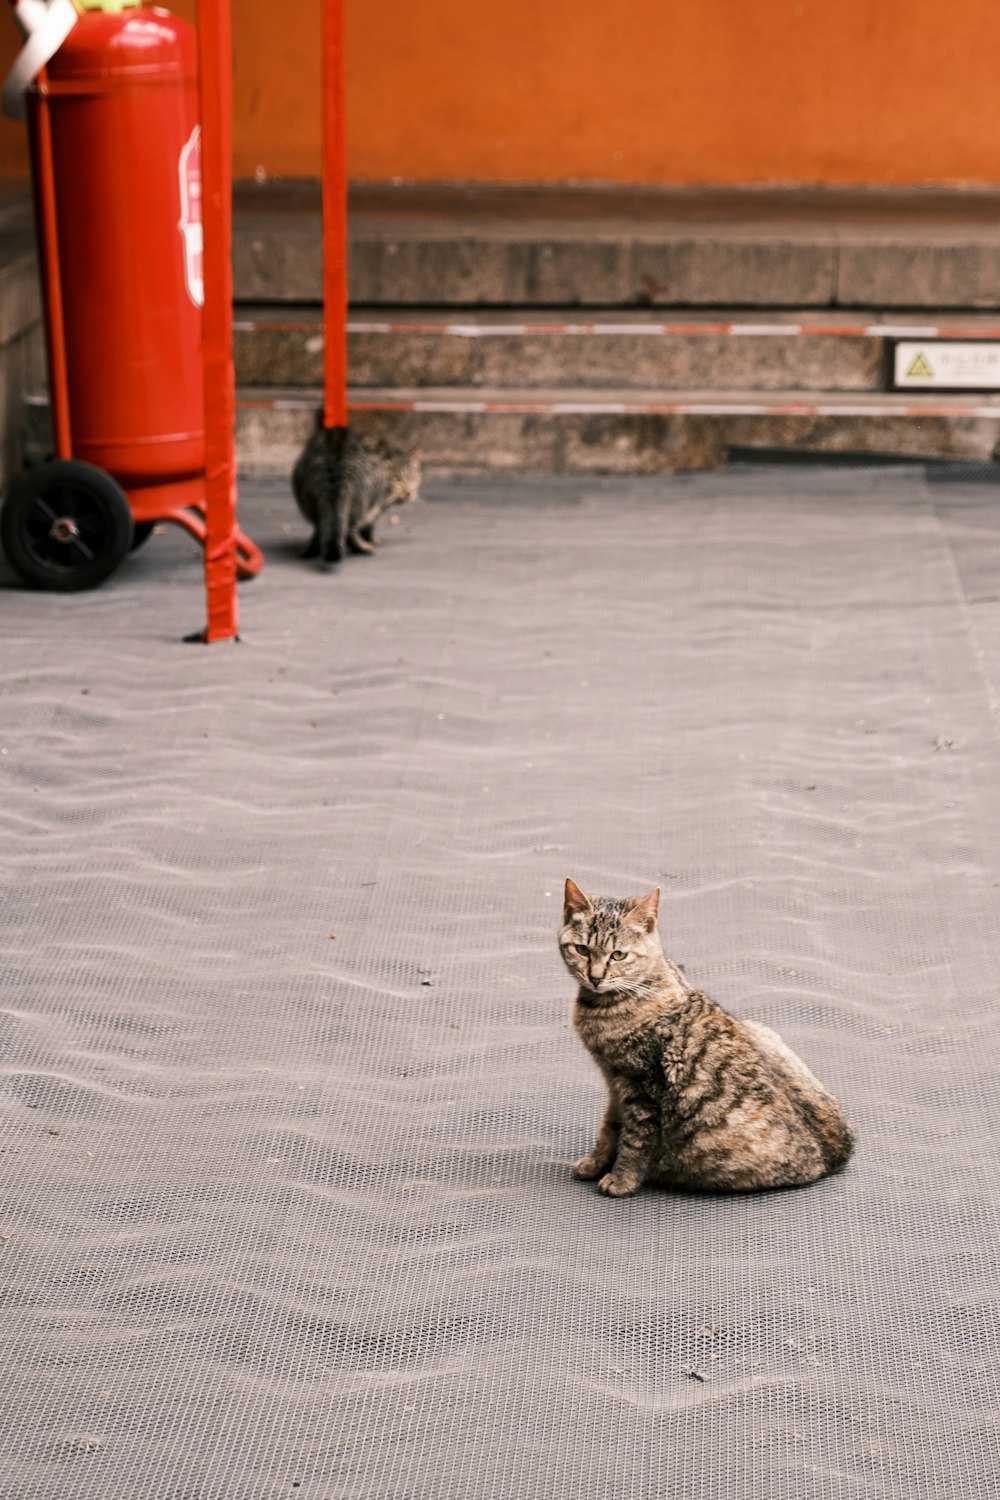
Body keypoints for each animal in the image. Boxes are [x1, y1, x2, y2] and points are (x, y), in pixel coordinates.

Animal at [560, 876, 857, 1194]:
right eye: (582, 950)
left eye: (618, 955)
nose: (595, 977)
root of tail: (832, 1160)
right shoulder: (615, 1085)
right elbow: (609, 1128)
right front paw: (595, 1163)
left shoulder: (640, 1087)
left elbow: (634, 1139)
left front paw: (622, 1179)